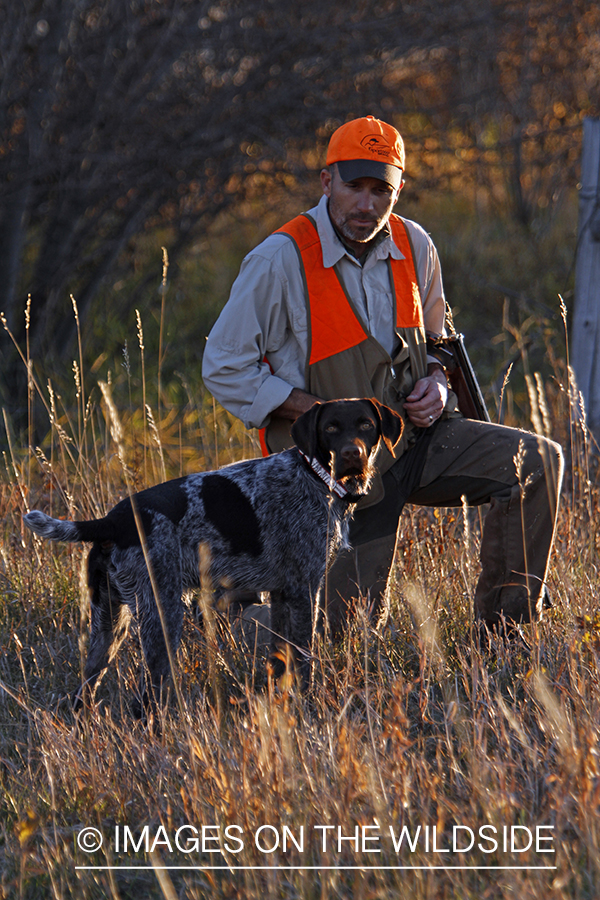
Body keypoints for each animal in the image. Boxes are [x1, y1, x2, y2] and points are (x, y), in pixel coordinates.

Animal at [23, 398, 404, 712]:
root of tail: (113, 520)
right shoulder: (304, 591)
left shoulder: (281, 595)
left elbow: (279, 660)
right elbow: (303, 659)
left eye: (365, 424)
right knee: (145, 700)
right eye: (330, 428)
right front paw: (307, 705)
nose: (352, 454)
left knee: (83, 692)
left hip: (108, 627)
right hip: (163, 615)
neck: (315, 476)